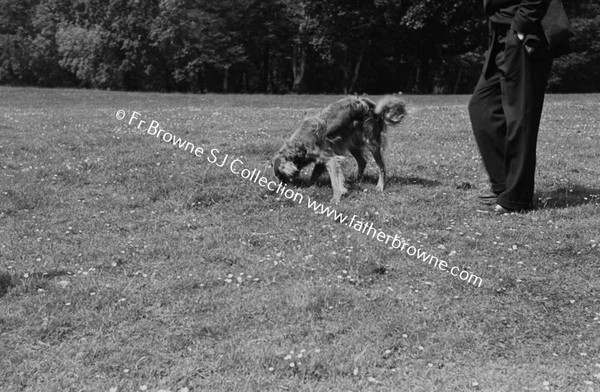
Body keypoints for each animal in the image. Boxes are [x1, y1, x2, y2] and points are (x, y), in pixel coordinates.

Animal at [274, 95, 406, 204]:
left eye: (281, 176)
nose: (280, 191)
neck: (301, 143)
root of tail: (370, 104)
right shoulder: (324, 159)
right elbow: (314, 176)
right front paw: (308, 188)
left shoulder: (330, 159)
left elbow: (334, 181)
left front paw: (336, 198)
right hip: (352, 143)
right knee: (362, 162)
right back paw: (356, 181)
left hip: (371, 143)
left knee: (381, 167)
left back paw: (380, 186)